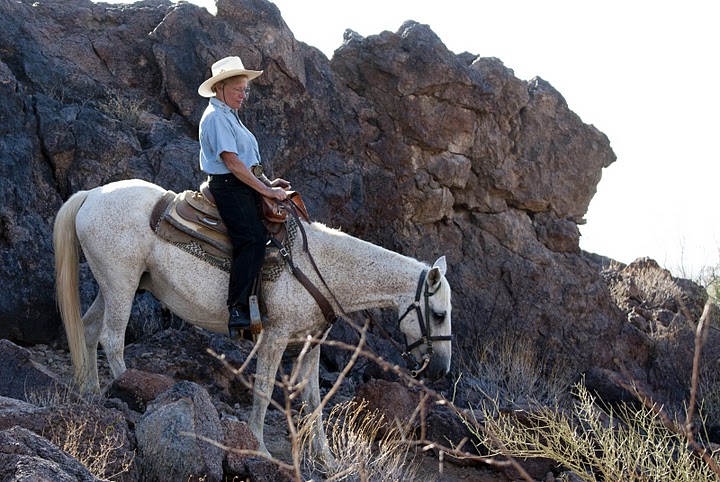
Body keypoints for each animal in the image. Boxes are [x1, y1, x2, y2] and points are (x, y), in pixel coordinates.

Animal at [53, 178, 452, 460]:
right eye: (439, 313)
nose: (441, 370)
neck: (321, 267)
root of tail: (91, 194)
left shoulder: (311, 344)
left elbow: (314, 399)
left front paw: (326, 458)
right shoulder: (275, 336)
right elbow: (264, 388)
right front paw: (258, 446)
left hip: (113, 283)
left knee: (89, 329)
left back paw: (91, 391)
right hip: (121, 282)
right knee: (112, 339)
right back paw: (133, 395)